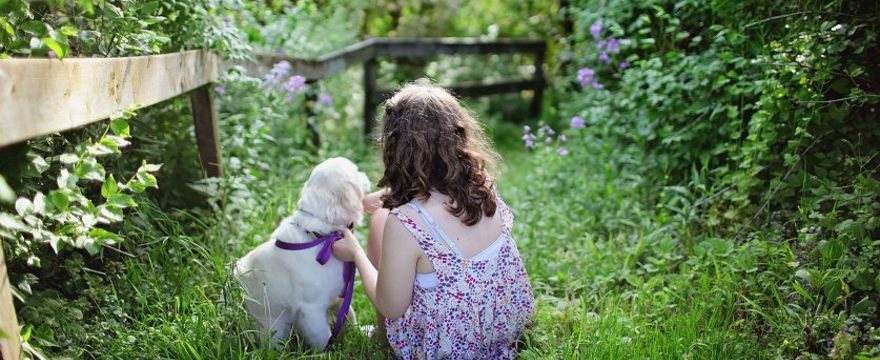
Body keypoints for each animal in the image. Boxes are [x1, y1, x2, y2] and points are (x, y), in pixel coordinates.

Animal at [234, 158, 368, 348]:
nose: (365, 175)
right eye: (356, 172)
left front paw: (361, 333)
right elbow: (323, 336)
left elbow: (350, 314)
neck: (320, 237)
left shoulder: (339, 295)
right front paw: (329, 350)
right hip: (274, 327)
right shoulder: (311, 309)